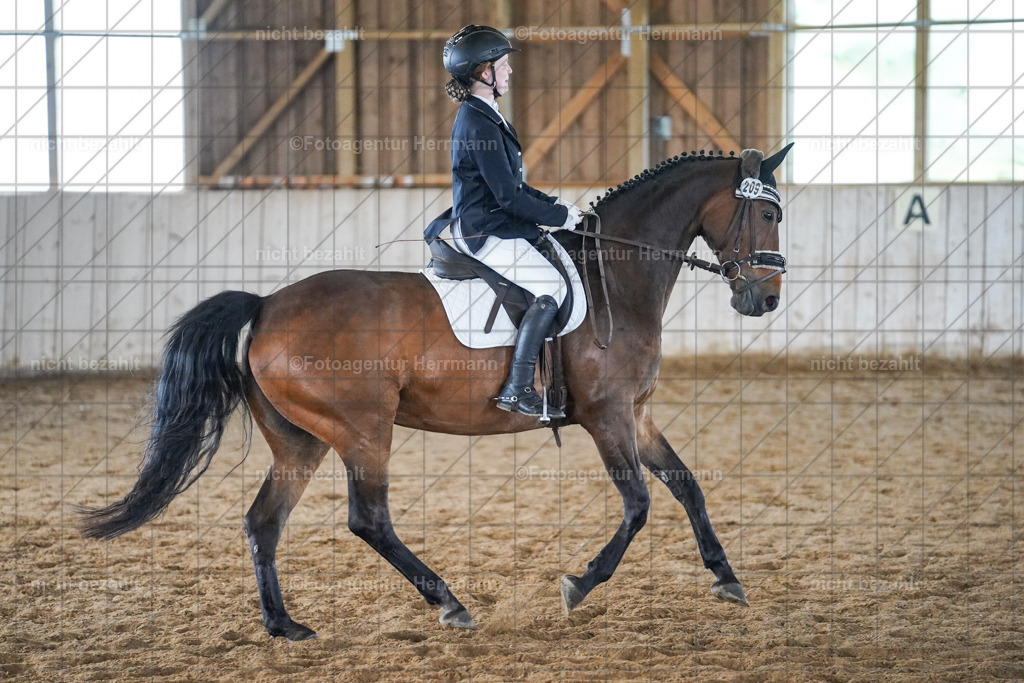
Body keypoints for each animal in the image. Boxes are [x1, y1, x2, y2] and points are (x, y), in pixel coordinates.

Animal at [79, 145, 793, 641]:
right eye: (765, 212)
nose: (765, 300)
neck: (614, 276)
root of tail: (266, 307)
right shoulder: (607, 416)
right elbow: (640, 504)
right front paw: (578, 585)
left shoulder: (637, 415)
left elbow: (687, 486)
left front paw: (727, 579)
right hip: (363, 430)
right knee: (367, 519)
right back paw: (449, 603)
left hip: (302, 441)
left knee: (263, 521)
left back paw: (285, 626)